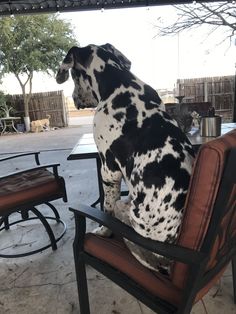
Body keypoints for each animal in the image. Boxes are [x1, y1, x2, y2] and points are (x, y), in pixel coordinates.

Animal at [56, 43, 195, 274]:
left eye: (74, 76)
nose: (74, 99)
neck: (118, 82)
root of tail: (166, 261)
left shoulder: (108, 169)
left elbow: (107, 206)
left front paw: (103, 230)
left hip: (125, 209)